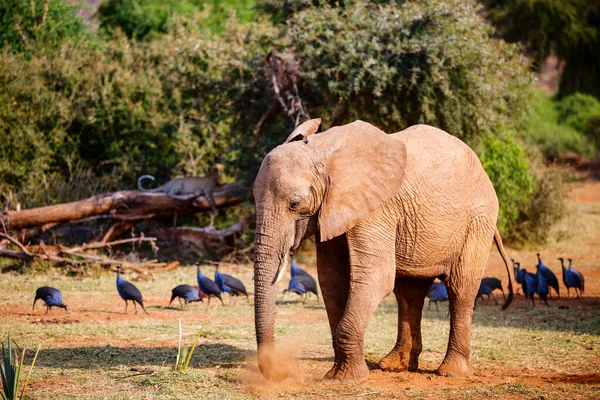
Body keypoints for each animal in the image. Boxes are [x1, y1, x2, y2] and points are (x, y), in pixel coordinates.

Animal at [251, 118, 512, 382]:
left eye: (295, 203)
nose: (278, 371)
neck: (323, 151)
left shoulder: (376, 209)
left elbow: (375, 277)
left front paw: (345, 379)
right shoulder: (332, 210)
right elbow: (331, 280)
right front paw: (336, 374)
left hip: (477, 221)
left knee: (461, 288)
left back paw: (450, 372)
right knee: (409, 292)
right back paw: (394, 365)